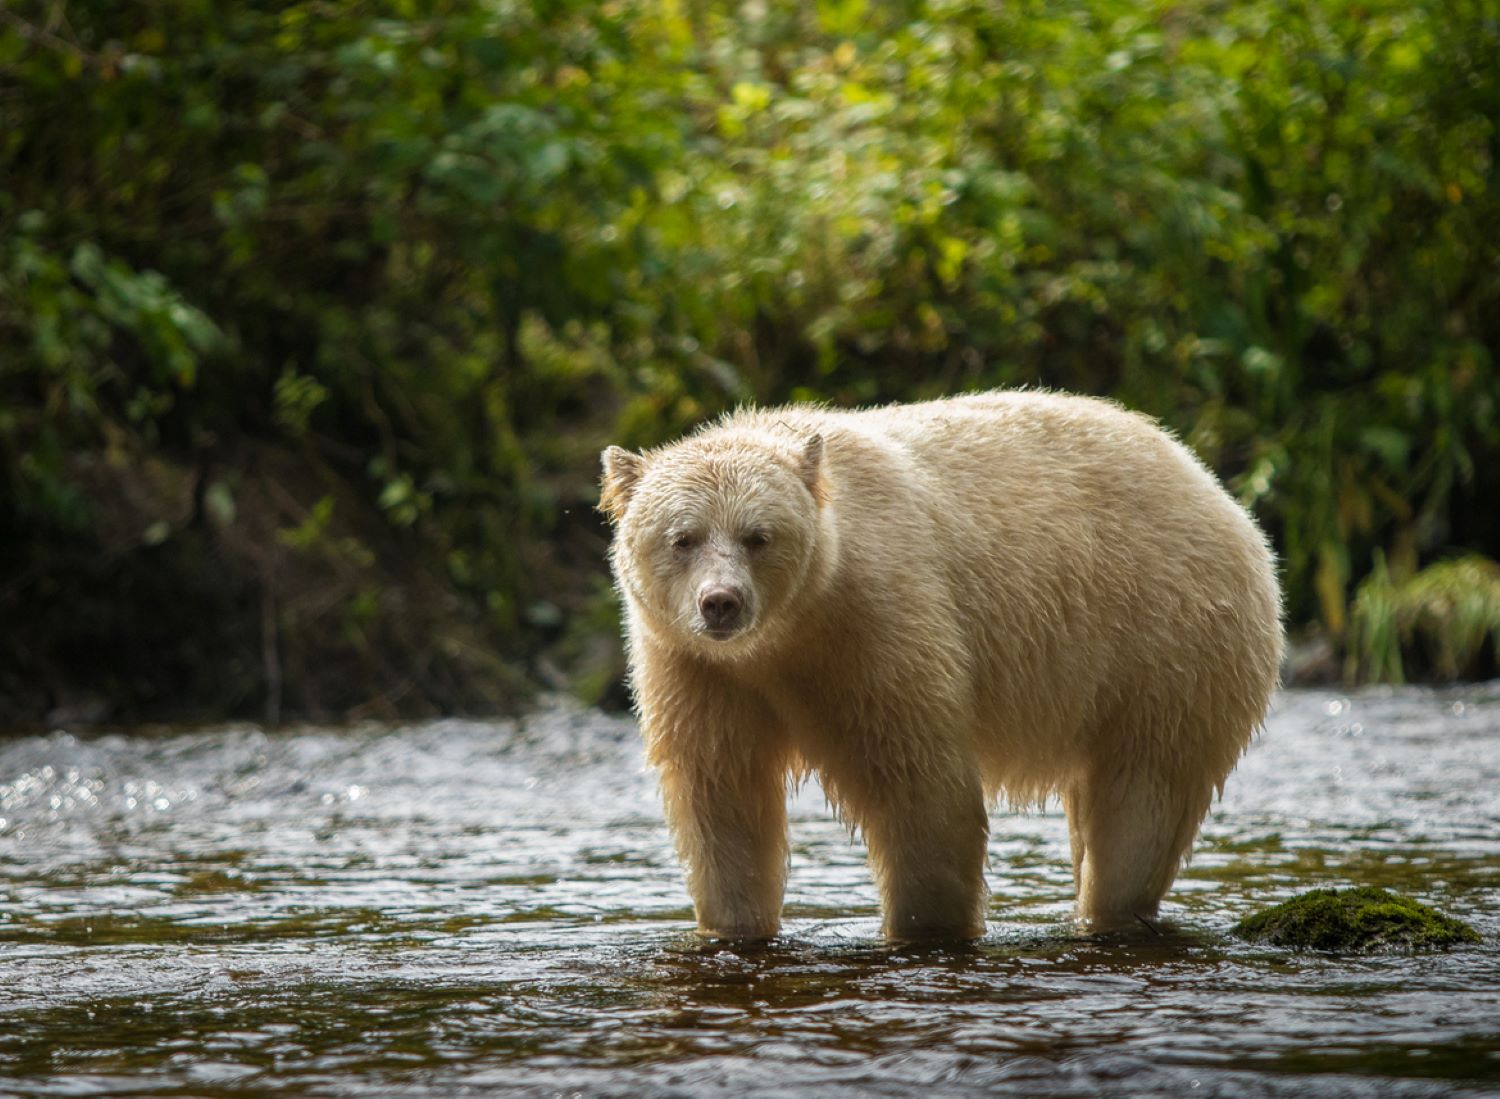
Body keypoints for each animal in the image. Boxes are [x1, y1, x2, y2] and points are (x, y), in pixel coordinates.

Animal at [600, 390, 1282, 941]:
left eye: (757, 536)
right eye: (682, 537)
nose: (722, 602)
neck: (788, 635)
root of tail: (1215, 489)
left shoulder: (878, 622)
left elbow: (918, 784)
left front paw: (923, 925)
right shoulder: (696, 668)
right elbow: (722, 797)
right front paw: (732, 923)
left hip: (1166, 641)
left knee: (1142, 801)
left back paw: (1109, 909)